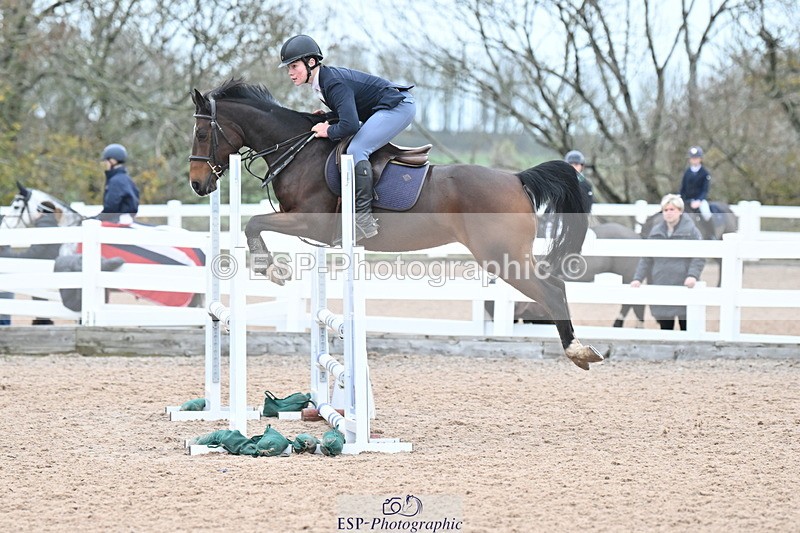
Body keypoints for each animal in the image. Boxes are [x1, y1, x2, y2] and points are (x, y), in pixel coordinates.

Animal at [189, 79, 603, 370]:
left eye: (202, 133)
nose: (197, 184)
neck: (299, 151)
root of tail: (517, 178)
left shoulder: (311, 222)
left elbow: (254, 223)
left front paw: (269, 268)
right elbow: (255, 224)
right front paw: (271, 267)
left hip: (502, 257)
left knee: (552, 290)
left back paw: (577, 351)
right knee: (554, 287)